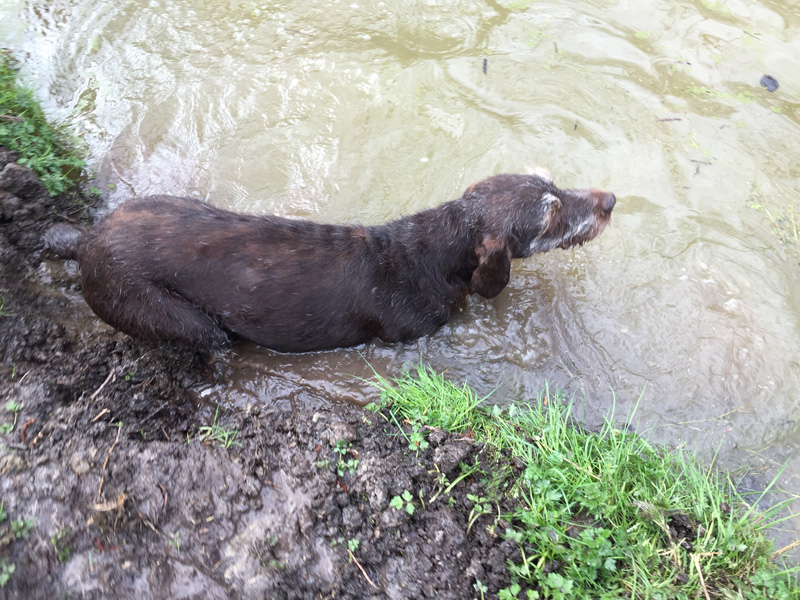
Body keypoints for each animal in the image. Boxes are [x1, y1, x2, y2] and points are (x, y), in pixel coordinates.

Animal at [43, 170, 616, 352]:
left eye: (554, 183)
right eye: (552, 213)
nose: (611, 200)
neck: (431, 252)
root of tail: (89, 240)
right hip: (171, 315)